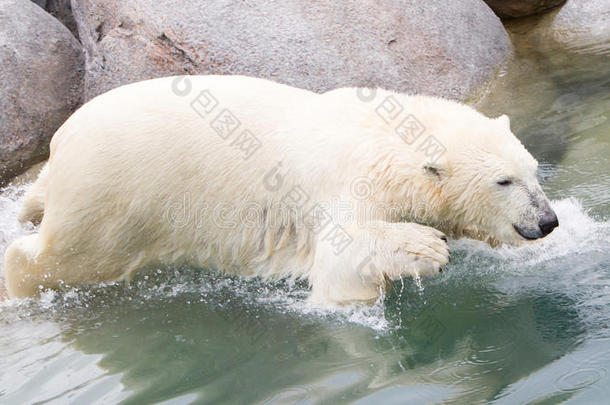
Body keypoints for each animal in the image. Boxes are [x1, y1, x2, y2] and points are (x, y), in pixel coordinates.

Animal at [4, 75, 556, 304]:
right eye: (503, 181)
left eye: (533, 172)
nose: (546, 221)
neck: (382, 136)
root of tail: (61, 140)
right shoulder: (346, 185)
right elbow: (339, 264)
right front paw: (422, 246)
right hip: (114, 197)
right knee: (67, 255)